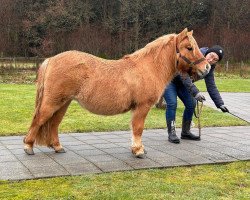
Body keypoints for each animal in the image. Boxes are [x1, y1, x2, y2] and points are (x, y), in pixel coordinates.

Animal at [23, 27, 211, 157]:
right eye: (189, 47)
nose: (207, 67)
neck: (148, 68)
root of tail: (51, 59)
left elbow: (135, 128)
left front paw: (137, 148)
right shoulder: (142, 107)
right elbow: (138, 128)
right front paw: (138, 150)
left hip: (63, 103)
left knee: (54, 124)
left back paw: (57, 147)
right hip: (52, 102)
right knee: (39, 119)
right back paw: (28, 146)